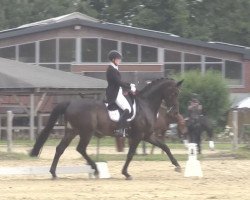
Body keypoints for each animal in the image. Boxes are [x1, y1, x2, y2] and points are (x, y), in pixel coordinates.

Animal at [30, 77, 184, 180]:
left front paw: (177, 166)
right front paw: (126, 173)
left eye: (178, 93)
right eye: (174, 93)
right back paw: (96, 169)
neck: (145, 105)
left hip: (72, 131)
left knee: (60, 149)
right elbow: (130, 154)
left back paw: (54, 173)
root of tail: (71, 102)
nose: (175, 112)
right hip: (86, 132)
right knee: (80, 149)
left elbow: (165, 147)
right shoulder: (138, 136)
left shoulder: (147, 135)